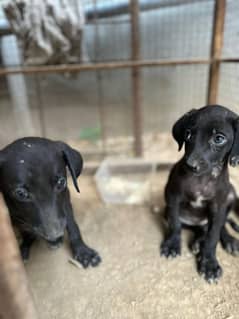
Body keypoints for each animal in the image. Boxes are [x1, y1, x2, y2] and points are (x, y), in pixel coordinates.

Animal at [0, 138, 101, 270]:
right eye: (21, 193)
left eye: (61, 182)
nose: (56, 235)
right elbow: (26, 232)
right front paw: (25, 246)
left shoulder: (65, 202)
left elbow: (73, 225)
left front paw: (83, 252)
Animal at [161, 106, 239, 284]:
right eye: (188, 134)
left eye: (219, 139)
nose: (190, 165)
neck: (201, 180)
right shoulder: (172, 197)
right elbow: (175, 224)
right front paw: (172, 244)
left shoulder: (218, 208)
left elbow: (213, 236)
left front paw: (209, 264)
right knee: (200, 229)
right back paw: (198, 242)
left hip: (231, 195)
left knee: (220, 227)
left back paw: (228, 241)